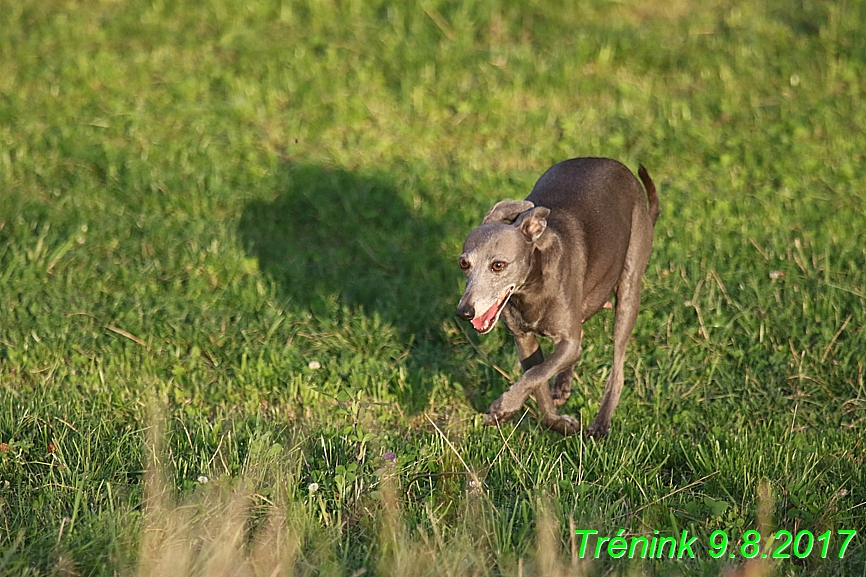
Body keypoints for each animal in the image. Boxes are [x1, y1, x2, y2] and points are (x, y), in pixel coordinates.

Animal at [456, 158, 660, 436]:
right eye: (464, 263)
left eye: (498, 265)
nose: (464, 312)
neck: (531, 289)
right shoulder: (525, 341)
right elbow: (537, 379)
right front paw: (555, 422)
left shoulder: (567, 341)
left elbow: (536, 374)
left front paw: (502, 407)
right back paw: (563, 386)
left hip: (629, 288)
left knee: (617, 368)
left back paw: (601, 423)